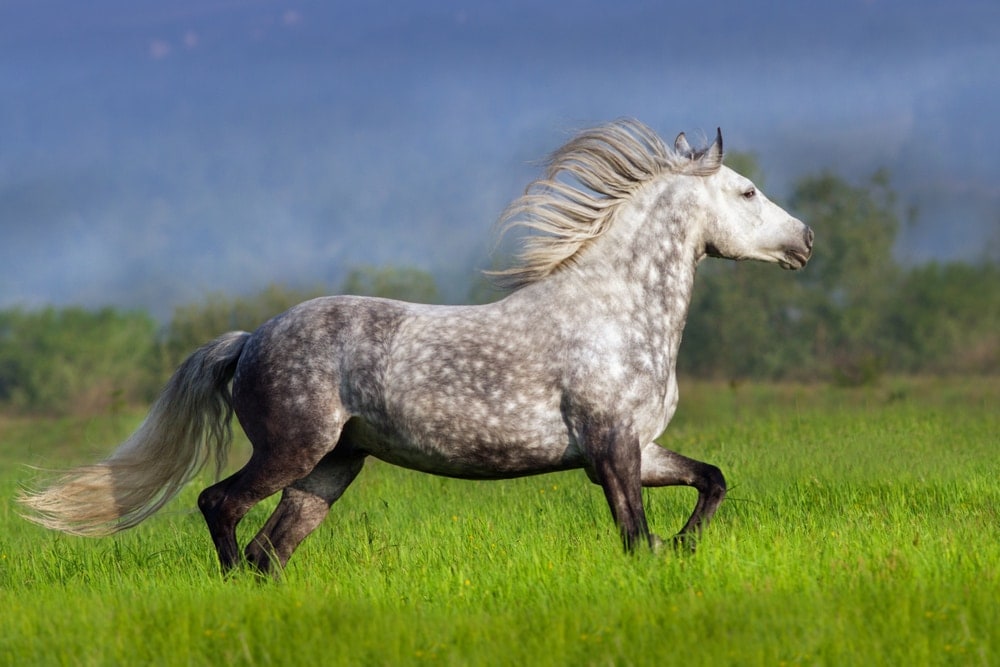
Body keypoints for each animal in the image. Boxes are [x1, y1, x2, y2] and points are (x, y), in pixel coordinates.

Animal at [19, 119, 813, 575]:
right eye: (747, 192)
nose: (804, 240)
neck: (614, 313)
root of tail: (247, 342)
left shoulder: (636, 448)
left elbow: (711, 480)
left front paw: (683, 548)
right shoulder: (611, 448)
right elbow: (632, 533)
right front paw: (662, 557)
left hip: (330, 469)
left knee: (270, 549)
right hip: (293, 450)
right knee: (220, 506)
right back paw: (228, 582)